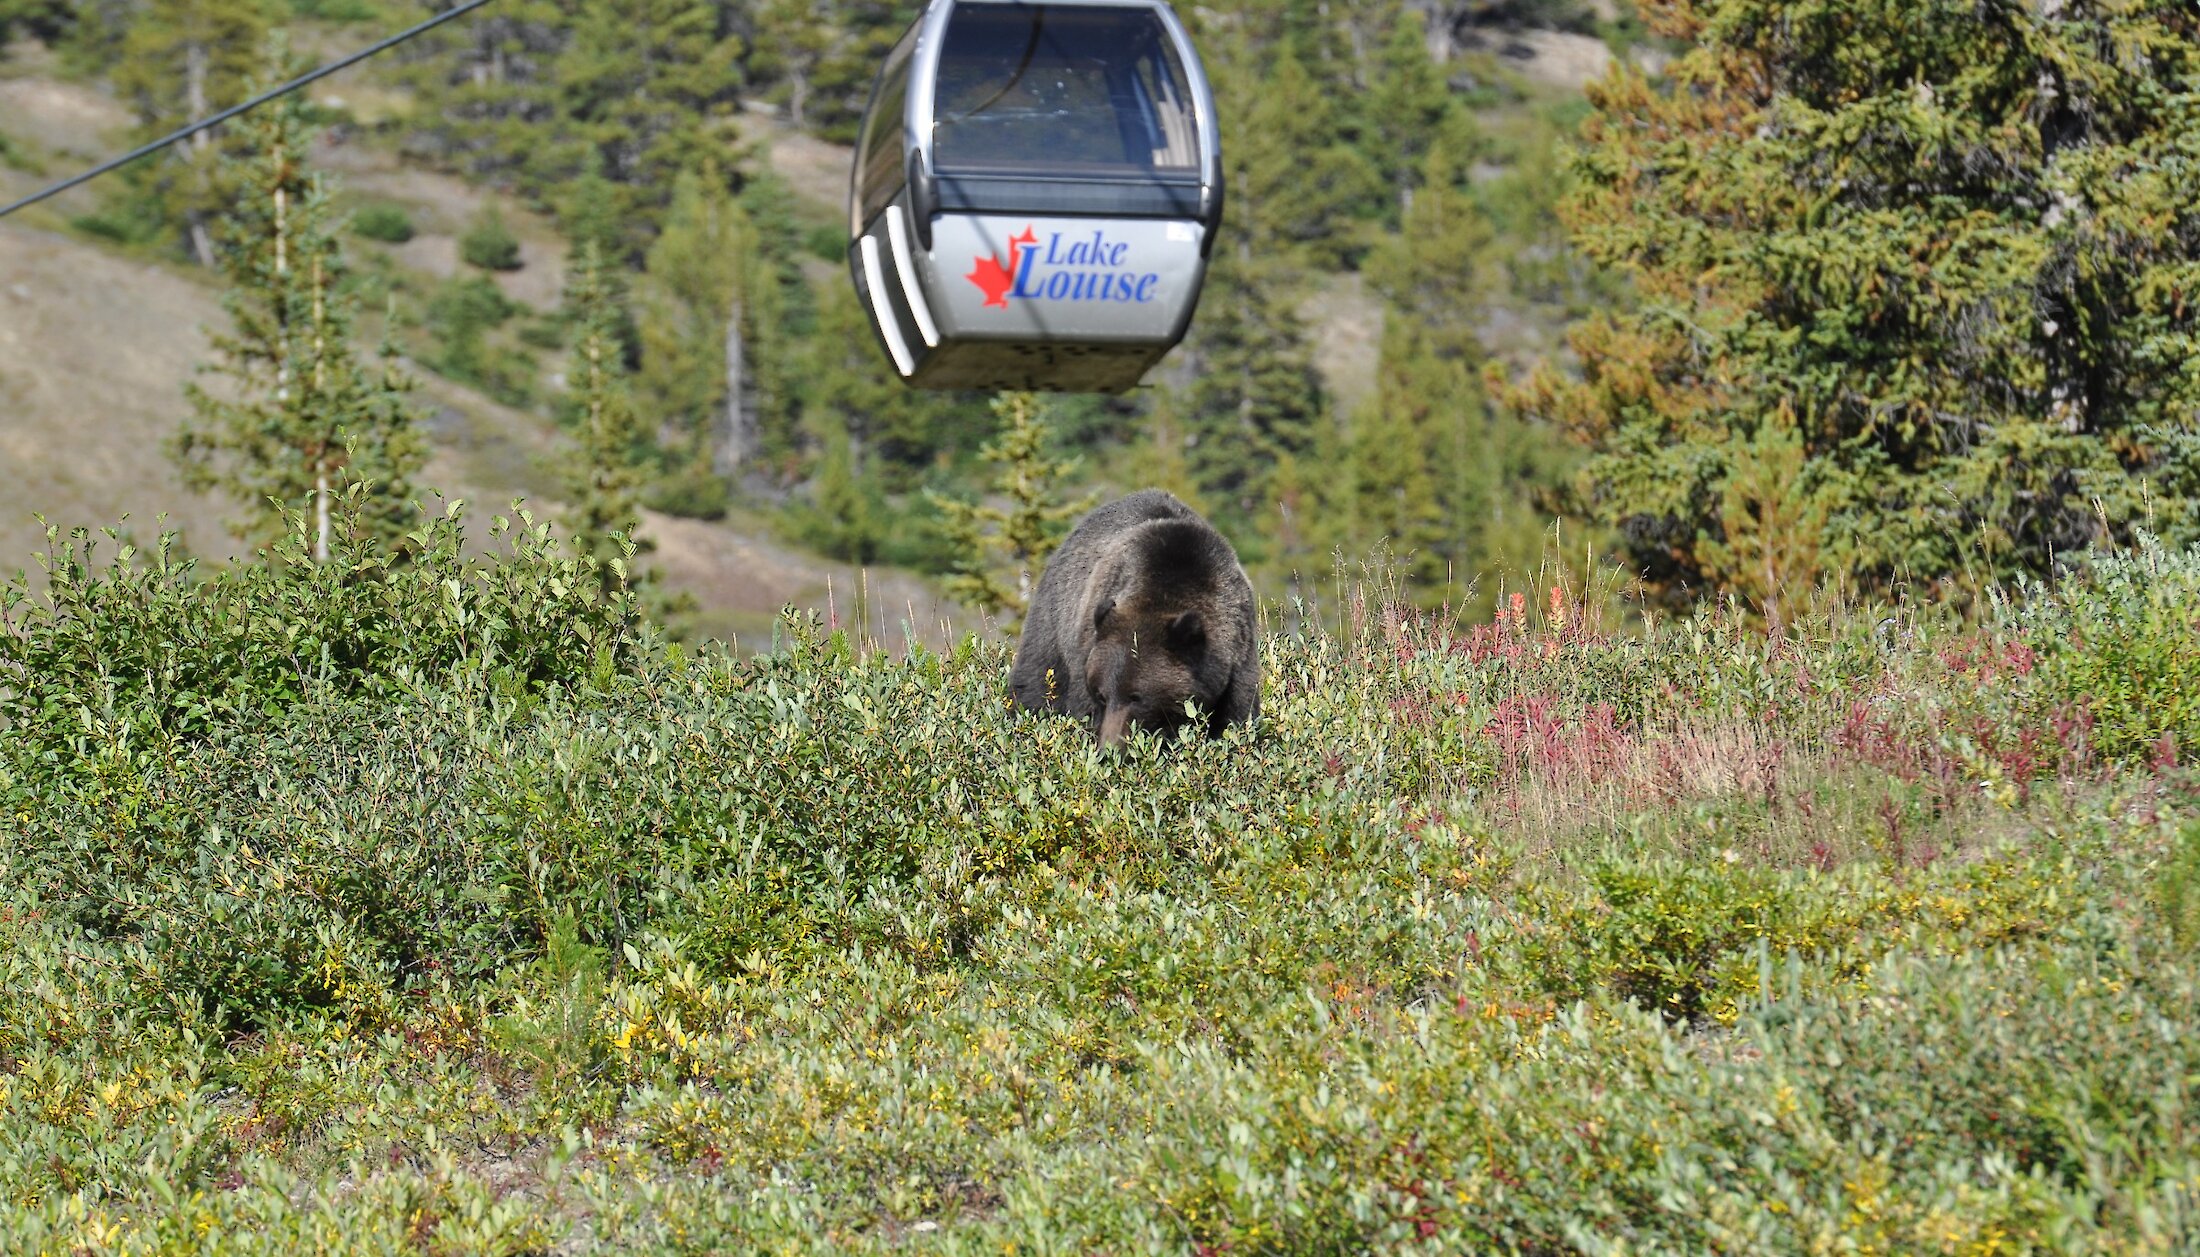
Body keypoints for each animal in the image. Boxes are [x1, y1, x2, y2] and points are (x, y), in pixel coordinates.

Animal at [1007, 490, 1258, 748]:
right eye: (1101, 694)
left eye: (1137, 696)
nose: (1109, 747)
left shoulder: (1237, 655)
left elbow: (1236, 719)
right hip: (1054, 625)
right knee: (1036, 683)